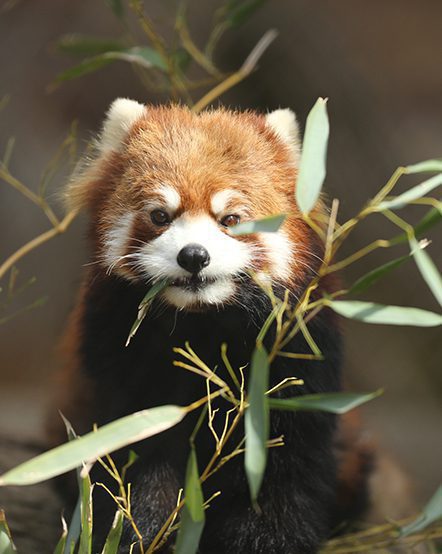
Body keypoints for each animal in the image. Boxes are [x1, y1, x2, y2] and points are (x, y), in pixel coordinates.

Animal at [50, 100, 372, 552]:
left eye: (231, 218)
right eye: (160, 215)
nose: (194, 255)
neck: (203, 323)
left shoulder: (294, 361)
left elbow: (282, 469)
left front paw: (270, 540)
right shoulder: (122, 360)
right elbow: (136, 453)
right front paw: (140, 531)